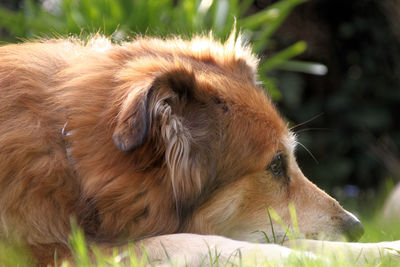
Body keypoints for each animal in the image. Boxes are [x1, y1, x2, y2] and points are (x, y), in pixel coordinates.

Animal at [0, 33, 398, 266]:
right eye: (275, 165)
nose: (358, 228)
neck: (72, 159)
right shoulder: (66, 251)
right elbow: (199, 242)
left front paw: (381, 249)